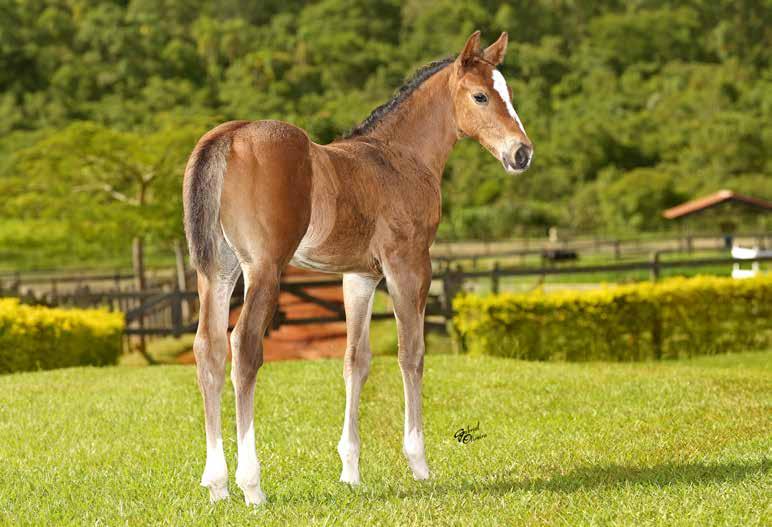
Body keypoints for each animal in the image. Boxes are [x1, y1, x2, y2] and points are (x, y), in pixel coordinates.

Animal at [182, 31, 532, 506]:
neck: (400, 157)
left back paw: (217, 483)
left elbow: (356, 360)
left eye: (507, 94)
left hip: (217, 271)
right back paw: (251, 484)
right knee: (245, 348)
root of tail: (229, 136)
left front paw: (350, 469)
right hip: (264, 270)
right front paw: (419, 463)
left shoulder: (359, 276)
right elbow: (411, 353)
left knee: (209, 349)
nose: (522, 153)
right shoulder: (409, 265)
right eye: (480, 96)